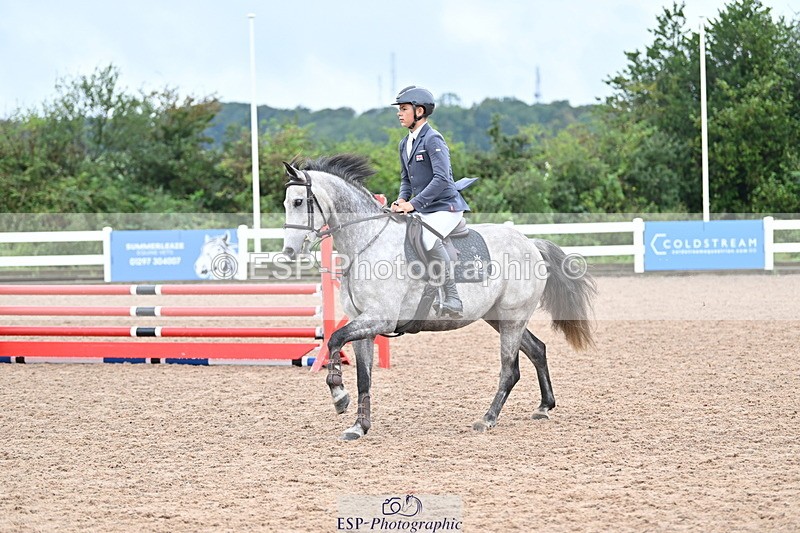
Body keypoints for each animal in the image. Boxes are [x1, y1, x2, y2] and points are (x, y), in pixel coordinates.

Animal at [282, 154, 596, 440]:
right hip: (498, 317)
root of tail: (530, 243)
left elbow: (334, 339)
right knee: (537, 349)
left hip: (512, 317)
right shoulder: (364, 325)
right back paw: (544, 406)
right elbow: (363, 378)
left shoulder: (379, 319)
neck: (366, 242)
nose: (289, 252)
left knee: (510, 369)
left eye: (297, 202)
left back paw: (487, 419)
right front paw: (359, 426)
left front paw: (338, 396)